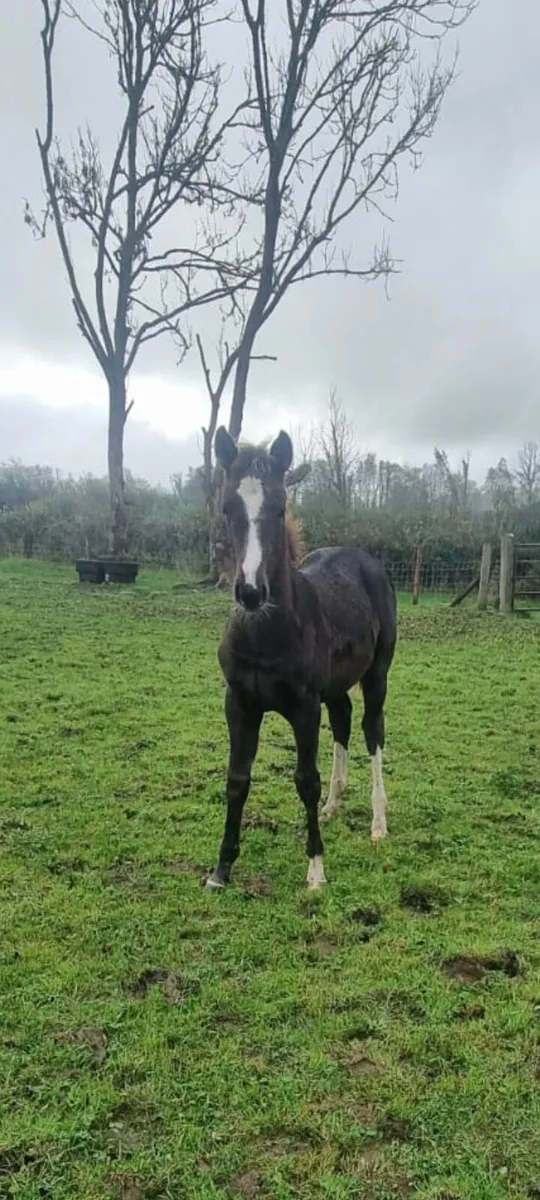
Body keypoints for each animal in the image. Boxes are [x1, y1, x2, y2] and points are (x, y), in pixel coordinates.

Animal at [205, 427, 397, 892]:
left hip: (377, 674)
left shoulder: (304, 707)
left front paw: (315, 870)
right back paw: (333, 805)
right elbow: (237, 779)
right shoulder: (239, 703)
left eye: (280, 508)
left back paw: (378, 823)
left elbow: (305, 780)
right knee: (343, 719)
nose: (250, 592)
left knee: (372, 731)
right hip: (336, 684)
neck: (266, 633)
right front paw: (221, 869)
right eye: (227, 507)